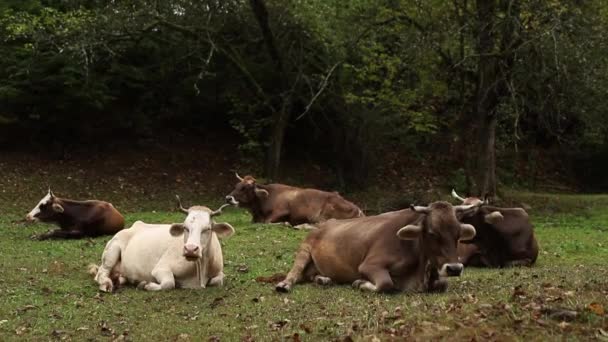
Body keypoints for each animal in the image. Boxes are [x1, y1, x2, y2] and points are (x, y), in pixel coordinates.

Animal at [91, 198, 234, 292]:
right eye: (185, 228)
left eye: (207, 229)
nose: (190, 249)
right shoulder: (160, 268)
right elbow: (169, 283)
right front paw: (146, 285)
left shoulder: (219, 272)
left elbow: (218, 280)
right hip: (112, 250)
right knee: (102, 272)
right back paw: (106, 284)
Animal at [226, 174, 364, 227]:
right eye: (236, 185)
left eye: (245, 187)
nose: (228, 198)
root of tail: (358, 209)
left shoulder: (282, 211)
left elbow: (267, 222)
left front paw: (286, 223)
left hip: (322, 215)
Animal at [274, 200, 480, 294]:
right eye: (432, 233)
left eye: (458, 234)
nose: (454, 268)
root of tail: (324, 224)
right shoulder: (369, 265)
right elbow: (386, 283)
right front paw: (360, 283)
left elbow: (443, 284)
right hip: (304, 249)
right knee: (295, 273)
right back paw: (285, 284)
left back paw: (323, 279)